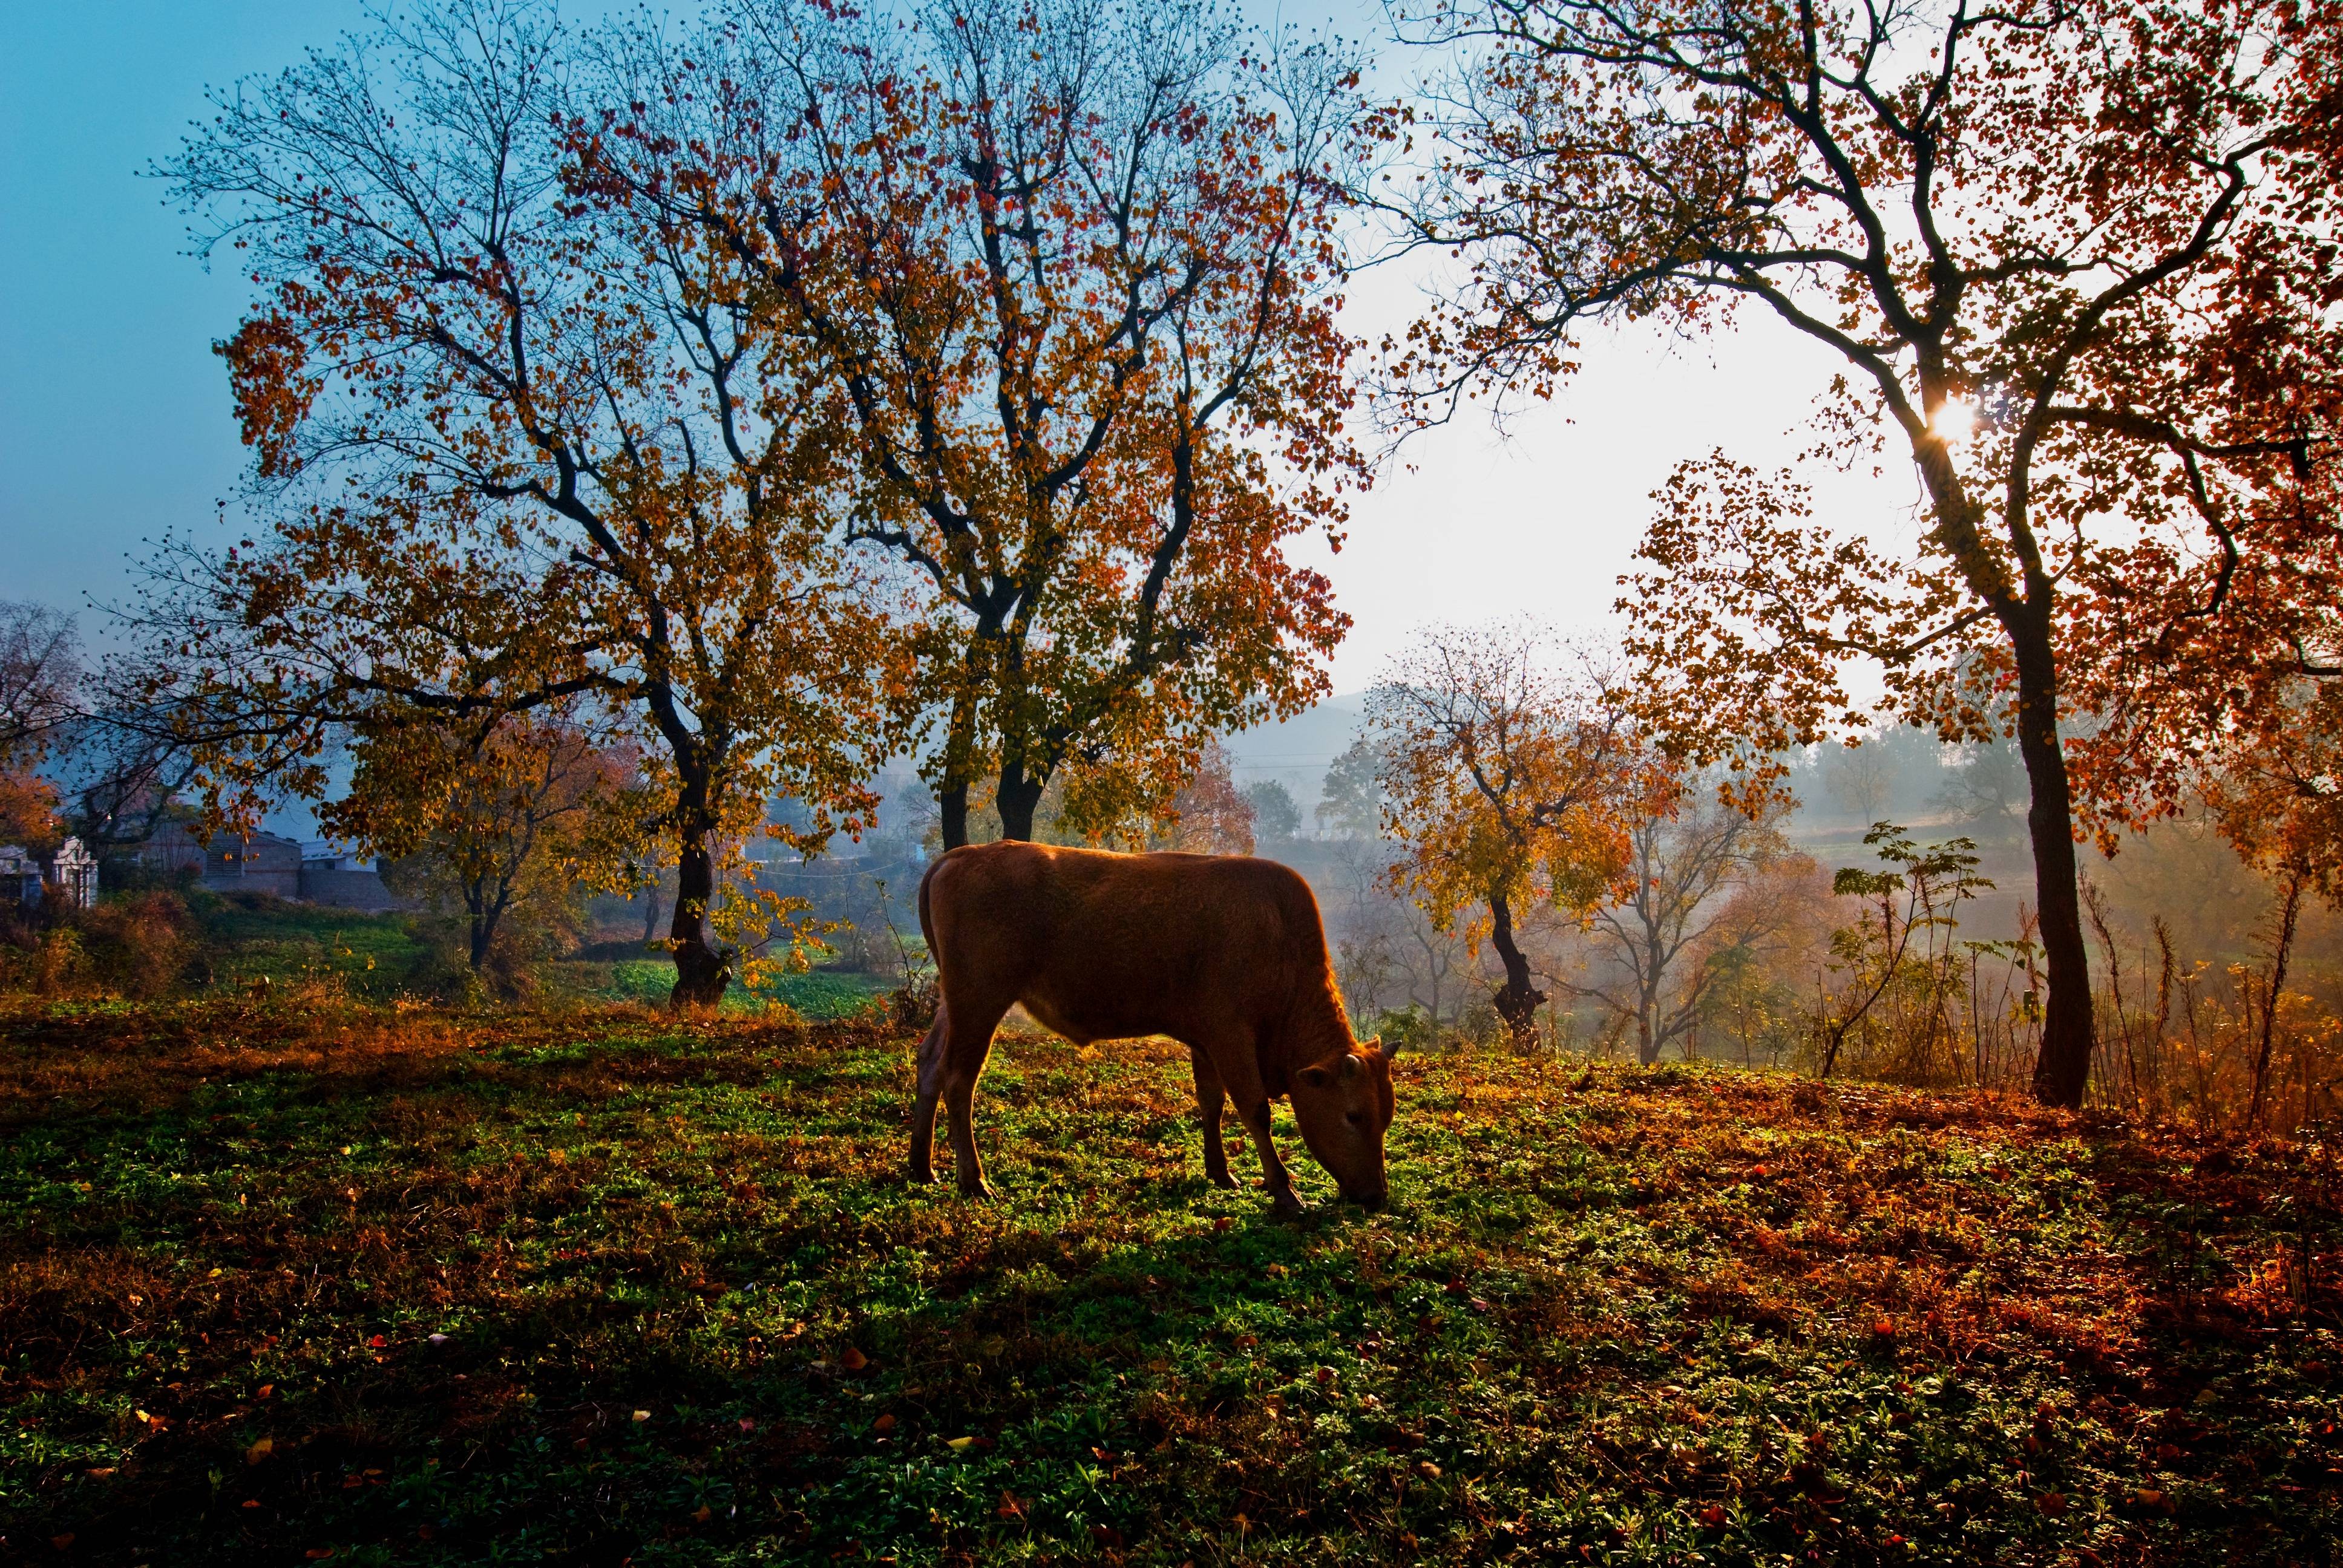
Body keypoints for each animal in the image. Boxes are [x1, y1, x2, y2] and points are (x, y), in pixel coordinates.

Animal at [909, 843, 1387, 1209]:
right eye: (1354, 1115)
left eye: (1388, 1116)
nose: (1377, 1198)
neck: (1279, 935)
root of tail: (960, 856)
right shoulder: (1231, 1036)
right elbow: (1255, 1110)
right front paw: (1286, 1194)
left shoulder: (1204, 1042)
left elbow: (1211, 1102)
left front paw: (1221, 1174)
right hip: (979, 1003)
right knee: (959, 1080)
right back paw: (974, 1180)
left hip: (953, 1004)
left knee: (929, 1065)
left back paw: (922, 1168)